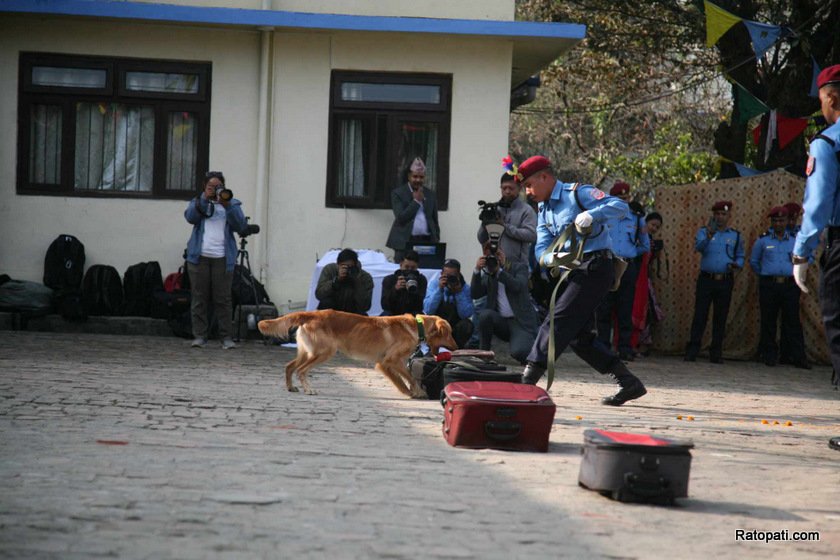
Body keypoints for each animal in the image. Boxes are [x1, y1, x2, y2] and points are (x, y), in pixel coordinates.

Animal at [260, 310, 456, 398]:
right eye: (450, 333)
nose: (456, 347)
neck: (417, 326)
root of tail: (311, 313)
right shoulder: (390, 360)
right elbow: (409, 377)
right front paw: (415, 392)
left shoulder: (387, 363)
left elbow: (402, 379)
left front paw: (410, 392)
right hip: (324, 352)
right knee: (301, 370)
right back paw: (309, 389)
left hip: (306, 352)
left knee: (289, 367)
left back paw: (290, 387)